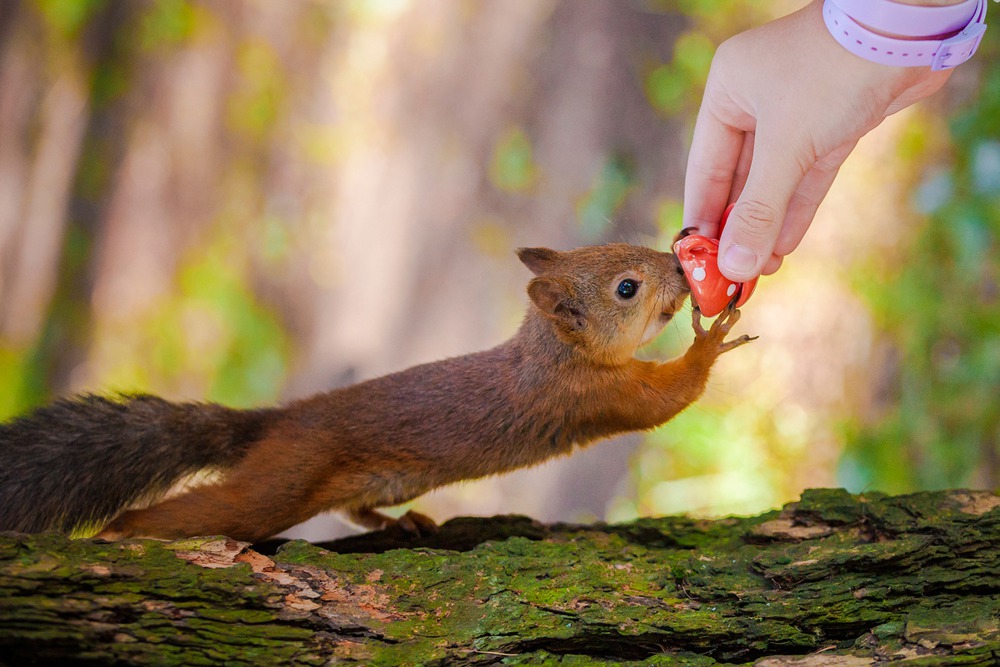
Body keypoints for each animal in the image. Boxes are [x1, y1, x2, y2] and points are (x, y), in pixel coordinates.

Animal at [0, 244, 752, 544]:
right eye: (627, 287)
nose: (678, 262)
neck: (550, 352)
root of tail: (277, 421)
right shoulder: (586, 396)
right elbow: (664, 401)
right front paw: (711, 339)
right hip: (279, 483)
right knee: (200, 511)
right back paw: (121, 536)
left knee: (355, 510)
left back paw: (402, 524)